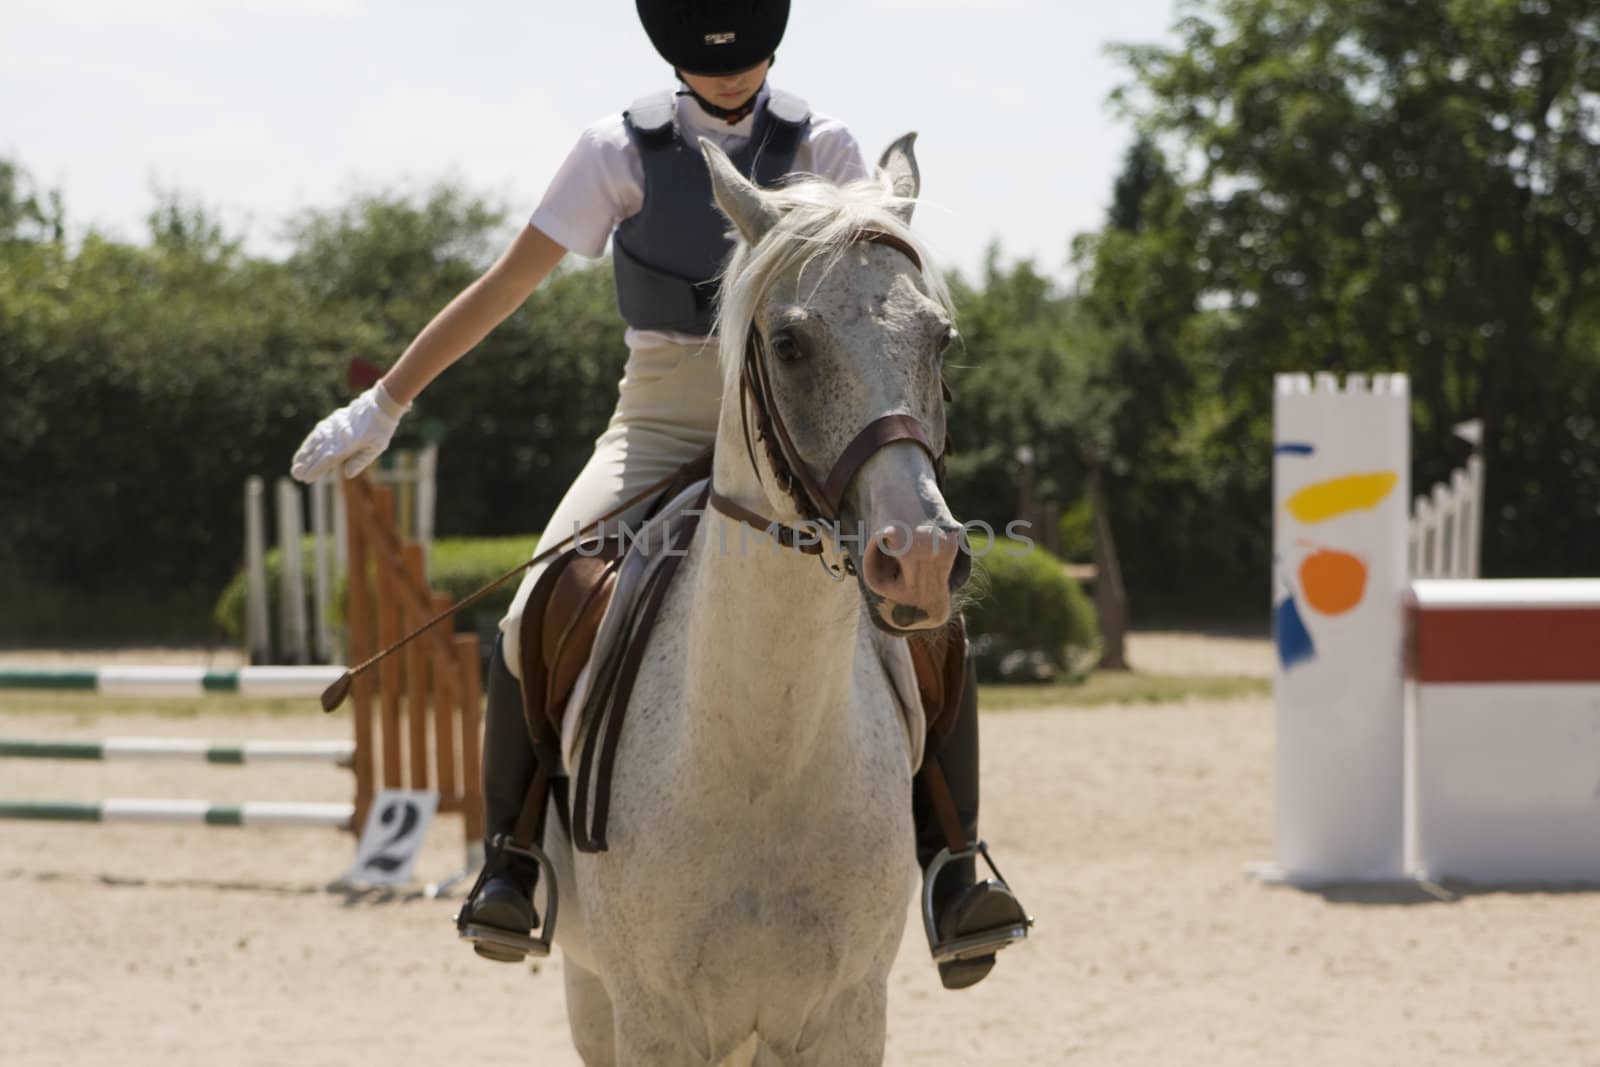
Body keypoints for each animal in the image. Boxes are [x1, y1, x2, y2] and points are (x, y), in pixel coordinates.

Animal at [544, 133, 960, 1067]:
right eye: (792, 344)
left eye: (942, 340)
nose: (919, 560)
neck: (766, 760)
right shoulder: (650, 1017)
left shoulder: (846, 1013)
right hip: (591, 992)